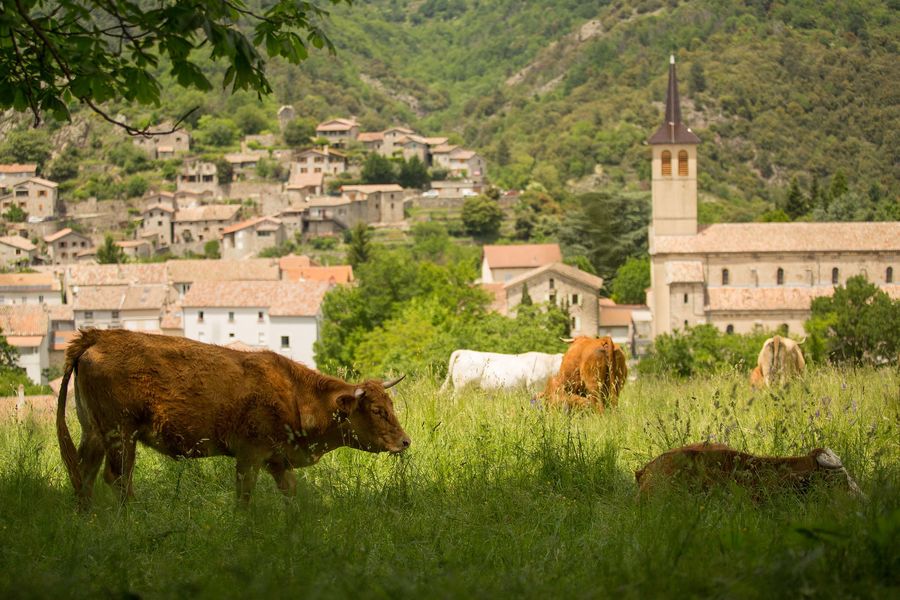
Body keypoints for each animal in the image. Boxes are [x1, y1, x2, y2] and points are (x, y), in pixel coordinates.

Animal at [56, 329, 411, 509]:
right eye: (377, 411)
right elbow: (244, 495)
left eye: (390, 404)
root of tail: (97, 336)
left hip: (94, 433)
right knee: (117, 478)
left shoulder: (278, 460)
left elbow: (291, 493)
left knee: (84, 476)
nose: (405, 441)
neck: (293, 393)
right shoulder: (250, 455)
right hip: (121, 434)